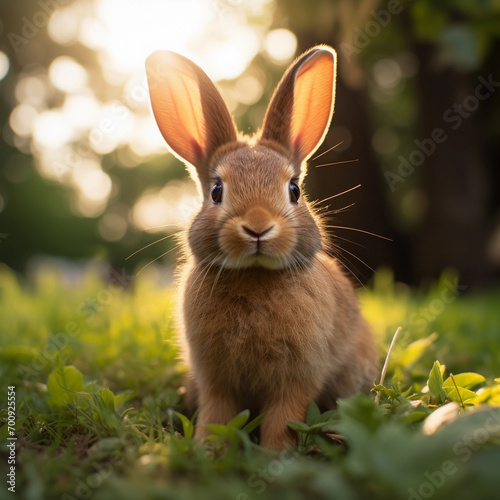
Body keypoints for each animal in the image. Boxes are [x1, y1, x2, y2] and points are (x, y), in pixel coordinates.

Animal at [146, 44, 378, 450]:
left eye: (294, 190)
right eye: (216, 191)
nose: (257, 227)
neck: (254, 276)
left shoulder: (298, 377)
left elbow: (283, 417)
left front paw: (274, 456)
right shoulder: (214, 378)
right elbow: (217, 413)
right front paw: (207, 450)